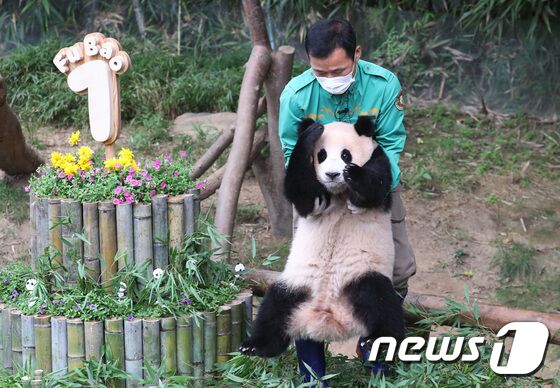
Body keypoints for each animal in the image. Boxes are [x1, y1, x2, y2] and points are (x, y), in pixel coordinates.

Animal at [238, 116, 404, 358]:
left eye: (346, 155)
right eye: (321, 155)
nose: (332, 175)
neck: (337, 192)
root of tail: (327, 317)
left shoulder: (378, 158)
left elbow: (377, 183)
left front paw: (354, 176)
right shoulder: (309, 197)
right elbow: (300, 190)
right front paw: (311, 133)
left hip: (361, 274)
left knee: (380, 300)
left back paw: (379, 340)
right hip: (297, 285)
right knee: (275, 307)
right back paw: (254, 345)